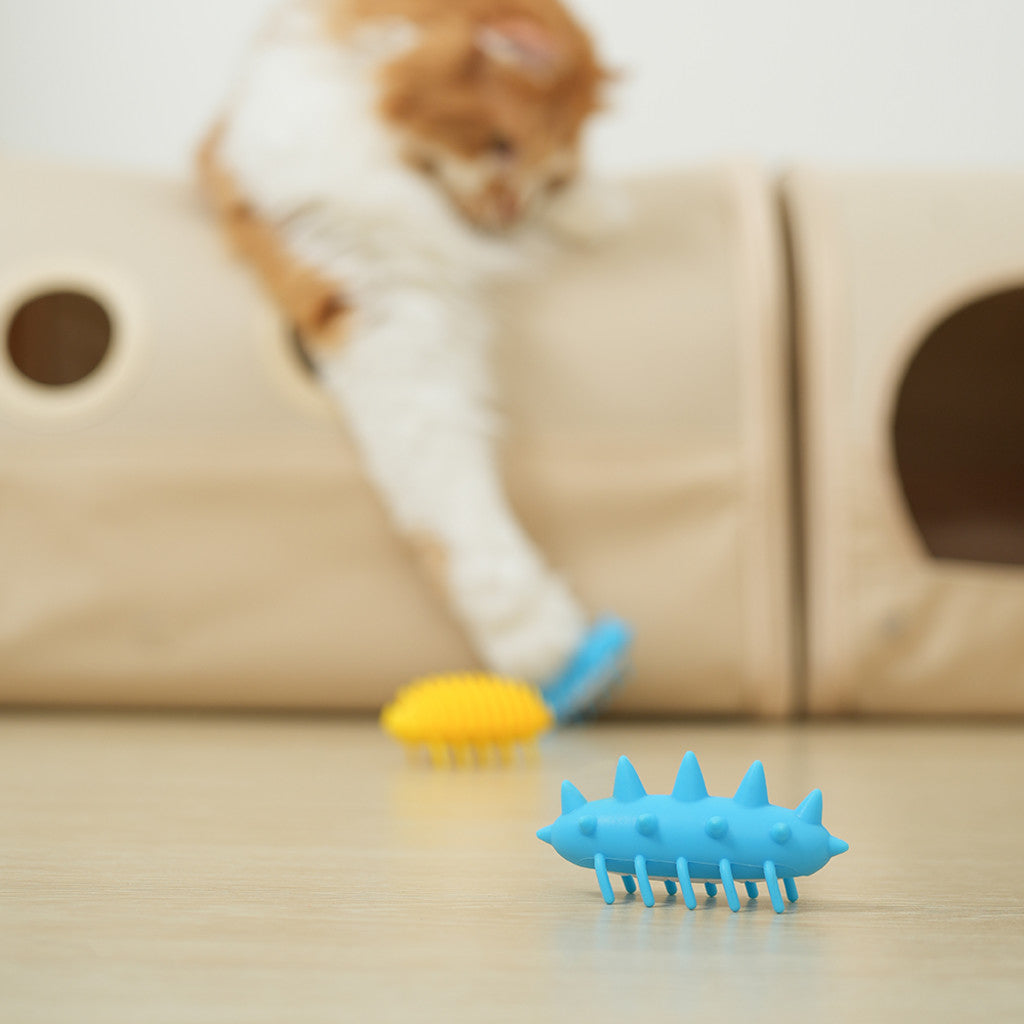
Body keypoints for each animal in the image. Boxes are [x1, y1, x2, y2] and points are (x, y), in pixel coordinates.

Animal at [198, 0, 629, 703]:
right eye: (502, 145)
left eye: (548, 177)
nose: (509, 214)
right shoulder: (375, 300)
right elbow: (444, 488)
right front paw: (534, 638)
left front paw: (593, 209)